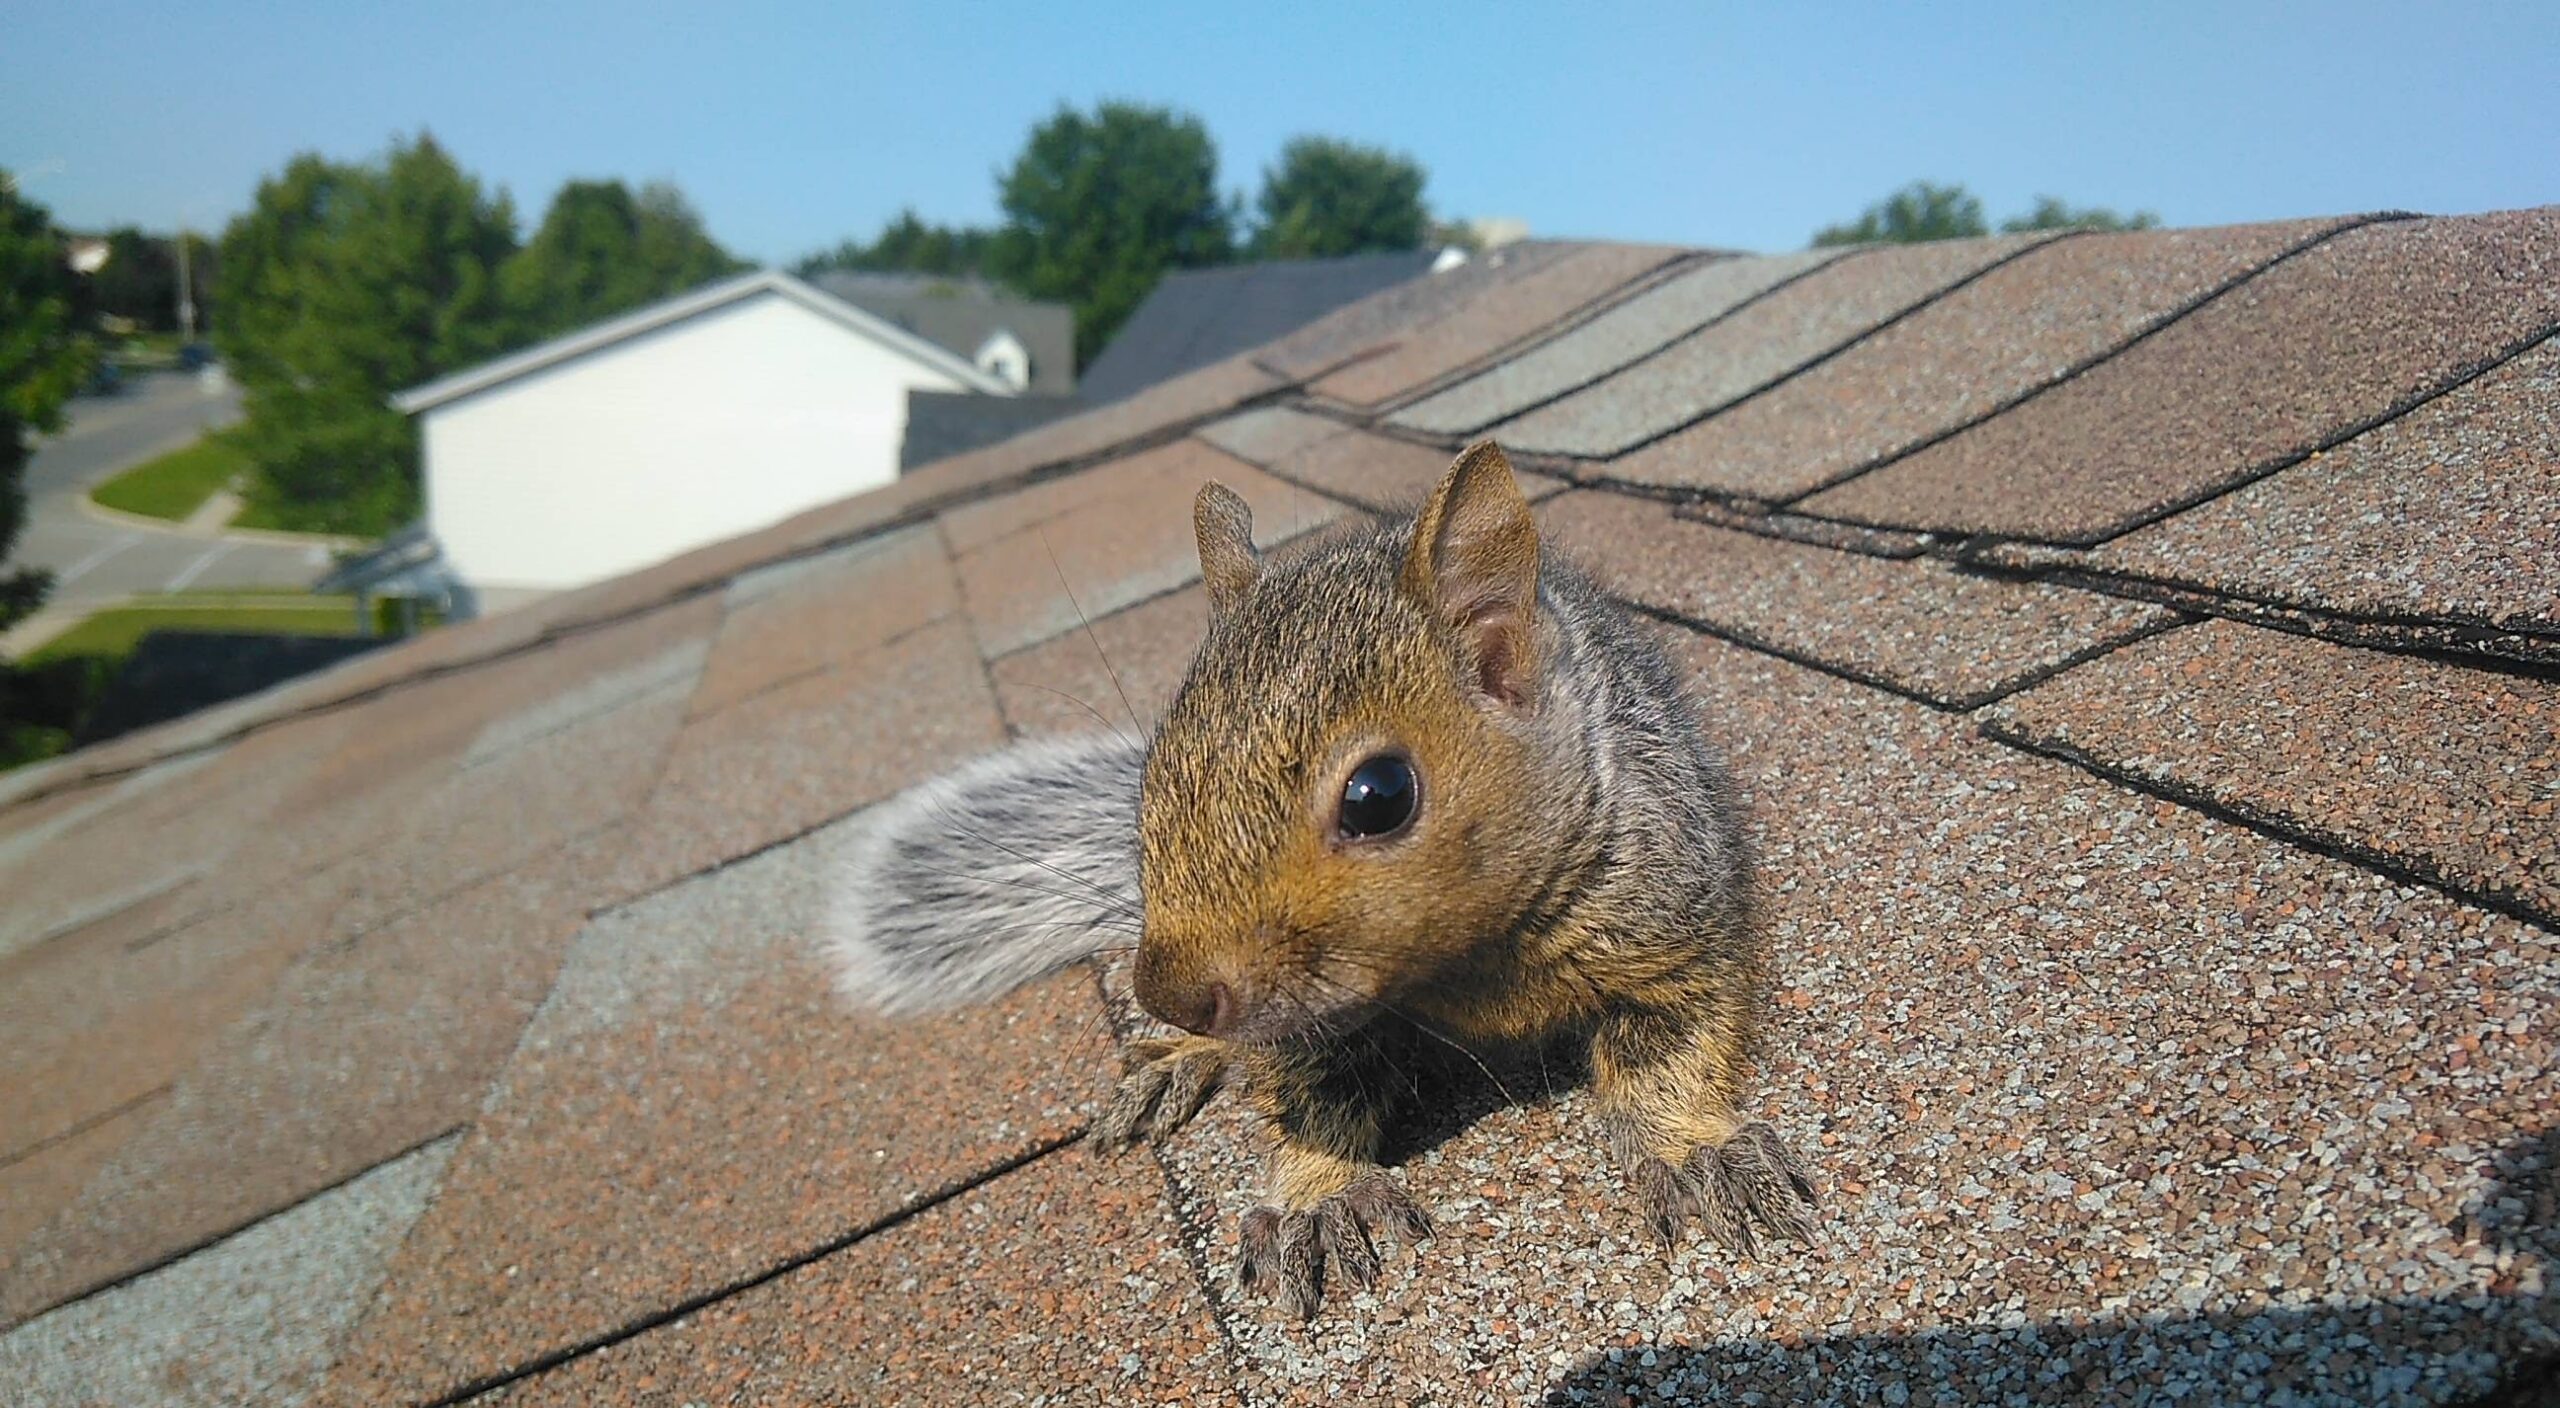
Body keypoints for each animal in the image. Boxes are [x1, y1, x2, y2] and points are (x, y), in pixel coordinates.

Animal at [829, 445, 1812, 1320]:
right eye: (1153, 778)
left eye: (1380, 796)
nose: (1170, 994)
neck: (1468, 958)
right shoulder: (1309, 1020)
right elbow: (1312, 1092)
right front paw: (1316, 1196)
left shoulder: (1668, 912)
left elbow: (1670, 1044)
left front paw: (1694, 1150)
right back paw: (1178, 1059)